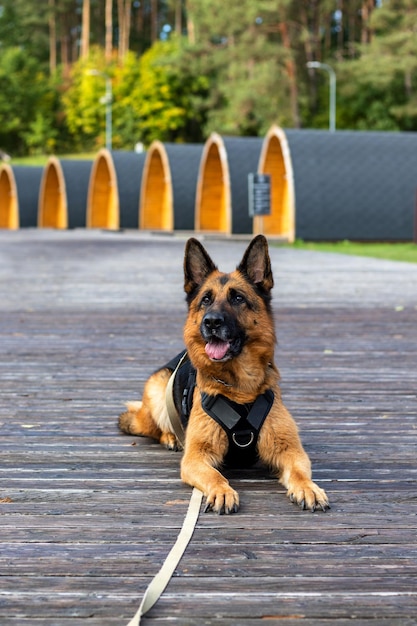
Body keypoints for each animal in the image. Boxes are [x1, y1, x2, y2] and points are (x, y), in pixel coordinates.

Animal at [118, 234, 330, 512]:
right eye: (206, 300)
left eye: (238, 298)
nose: (211, 322)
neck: (240, 389)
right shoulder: (196, 457)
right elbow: (215, 475)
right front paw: (222, 491)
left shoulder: (290, 451)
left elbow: (299, 472)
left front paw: (308, 488)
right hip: (158, 391)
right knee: (143, 424)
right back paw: (171, 437)